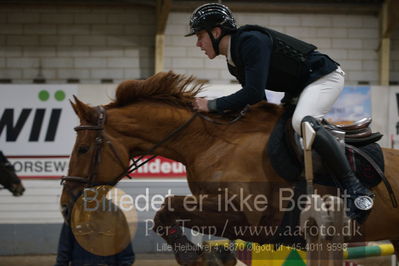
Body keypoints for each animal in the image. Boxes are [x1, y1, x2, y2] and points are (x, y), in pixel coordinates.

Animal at [59, 71, 399, 266]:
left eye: (83, 149)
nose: (65, 204)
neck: (208, 142)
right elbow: (166, 214)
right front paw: (208, 255)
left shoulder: (247, 217)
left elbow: (167, 208)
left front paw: (193, 255)